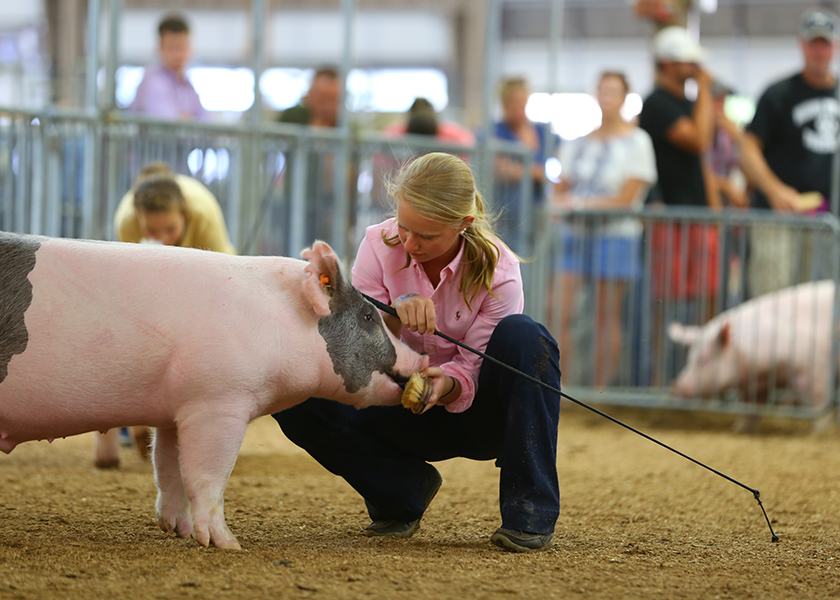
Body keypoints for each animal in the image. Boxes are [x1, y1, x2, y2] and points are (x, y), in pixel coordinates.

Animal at [0, 233, 427, 550]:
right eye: (368, 316)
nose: (421, 359)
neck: (281, 323)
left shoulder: (174, 410)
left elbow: (168, 469)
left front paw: (179, 531)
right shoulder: (218, 402)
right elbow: (206, 477)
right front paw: (228, 544)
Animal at [668, 280, 835, 429]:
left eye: (704, 360)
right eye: (689, 359)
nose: (675, 387)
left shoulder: (813, 366)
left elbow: (820, 402)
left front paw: (818, 430)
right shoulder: (755, 384)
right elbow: (752, 406)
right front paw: (738, 428)